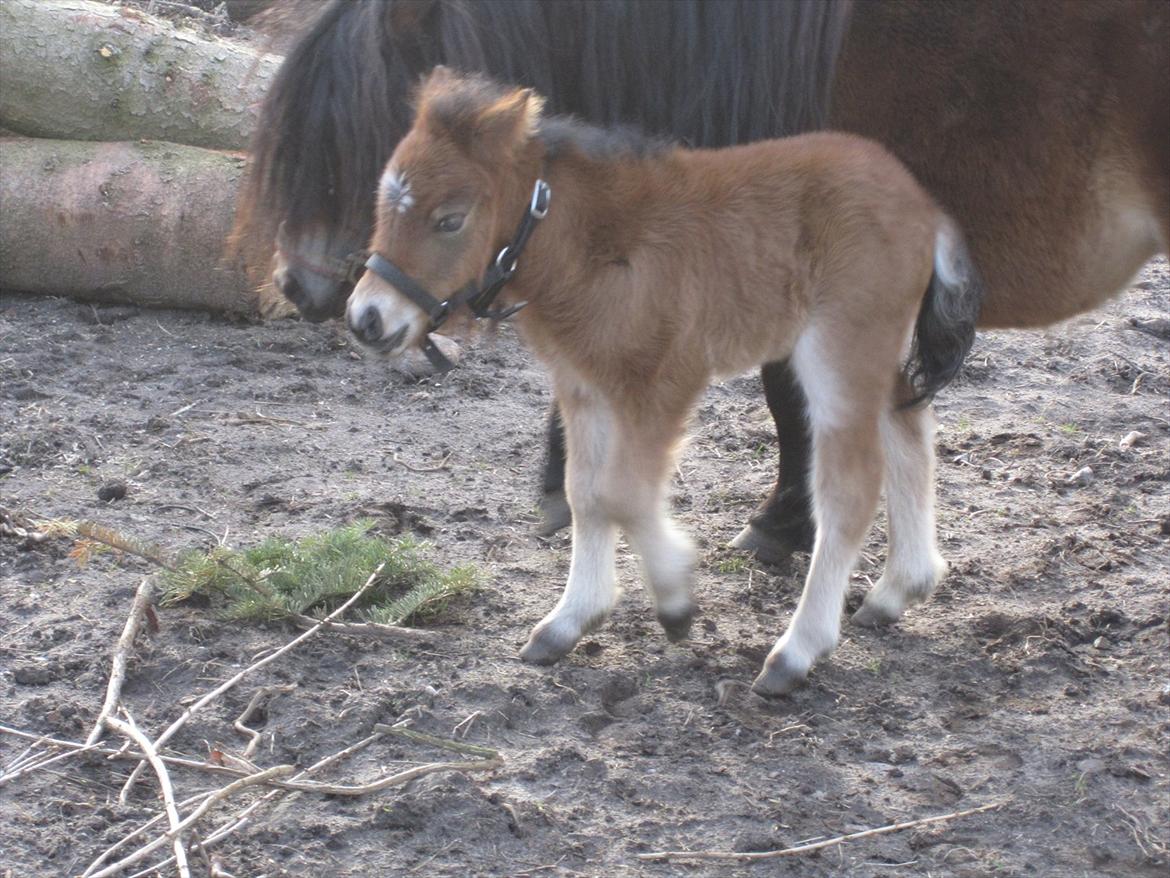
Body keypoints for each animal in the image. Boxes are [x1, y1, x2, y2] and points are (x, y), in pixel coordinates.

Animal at [348, 72, 987, 697]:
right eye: (382, 203)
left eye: (450, 219)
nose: (366, 319)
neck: (596, 246)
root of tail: (925, 207)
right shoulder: (583, 387)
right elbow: (585, 494)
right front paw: (568, 622)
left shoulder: (662, 382)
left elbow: (623, 495)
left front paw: (676, 599)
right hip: (873, 354)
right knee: (909, 430)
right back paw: (898, 591)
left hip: (839, 352)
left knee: (850, 488)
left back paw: (796, 653)